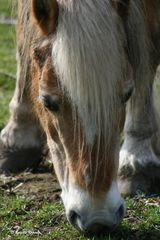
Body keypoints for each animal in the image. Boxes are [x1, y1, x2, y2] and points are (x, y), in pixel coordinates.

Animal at [0, 0, 160, 235]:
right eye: (47, 102)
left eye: (127, 94)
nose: (98, 218)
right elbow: (24, 38)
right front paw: (16, 138)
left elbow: (147, 51)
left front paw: (137, 162)